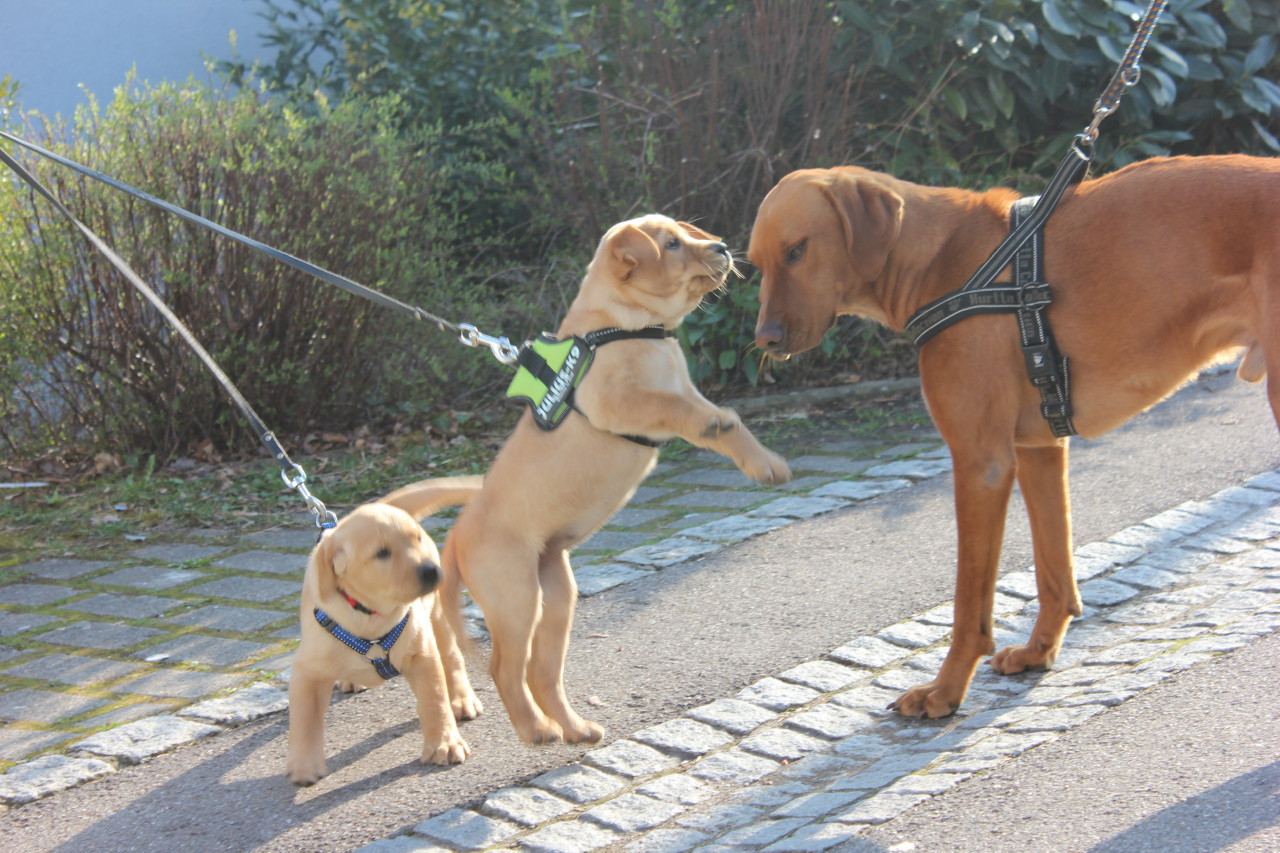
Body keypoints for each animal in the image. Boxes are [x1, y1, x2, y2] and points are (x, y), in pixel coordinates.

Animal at [288, 473, 481, 778]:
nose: (432, 571)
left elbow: (435, 701)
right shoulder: (307, 670)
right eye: (382, 553)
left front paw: (445, 744)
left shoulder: (422, 655)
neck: (371, 614)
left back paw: (463, 699)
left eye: (417, 539)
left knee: (452, 657)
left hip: (437, 616)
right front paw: (304, 765)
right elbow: (304, 718)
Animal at [419, 213, 788, 742]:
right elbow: (681, 408)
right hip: (516, 597)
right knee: (505, 669)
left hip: (557, 594)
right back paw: (537, 730)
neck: (631, 326)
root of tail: (455, 536)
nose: (721, 247)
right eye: (672, 244)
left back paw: (576, 728)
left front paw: (766, 463)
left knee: (541, 672)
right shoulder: (625, 401)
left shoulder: (687, 394)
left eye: (687, 233)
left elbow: (731, 425)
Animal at [747, 154, 1280, 717]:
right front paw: (1038, 651)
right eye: (758, 263)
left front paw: (946, 691)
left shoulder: (981, 463)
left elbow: (969, 604)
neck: (941, 260)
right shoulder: (1040, 449)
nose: (764, 341)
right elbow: (1054, 575)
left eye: (798, 250)